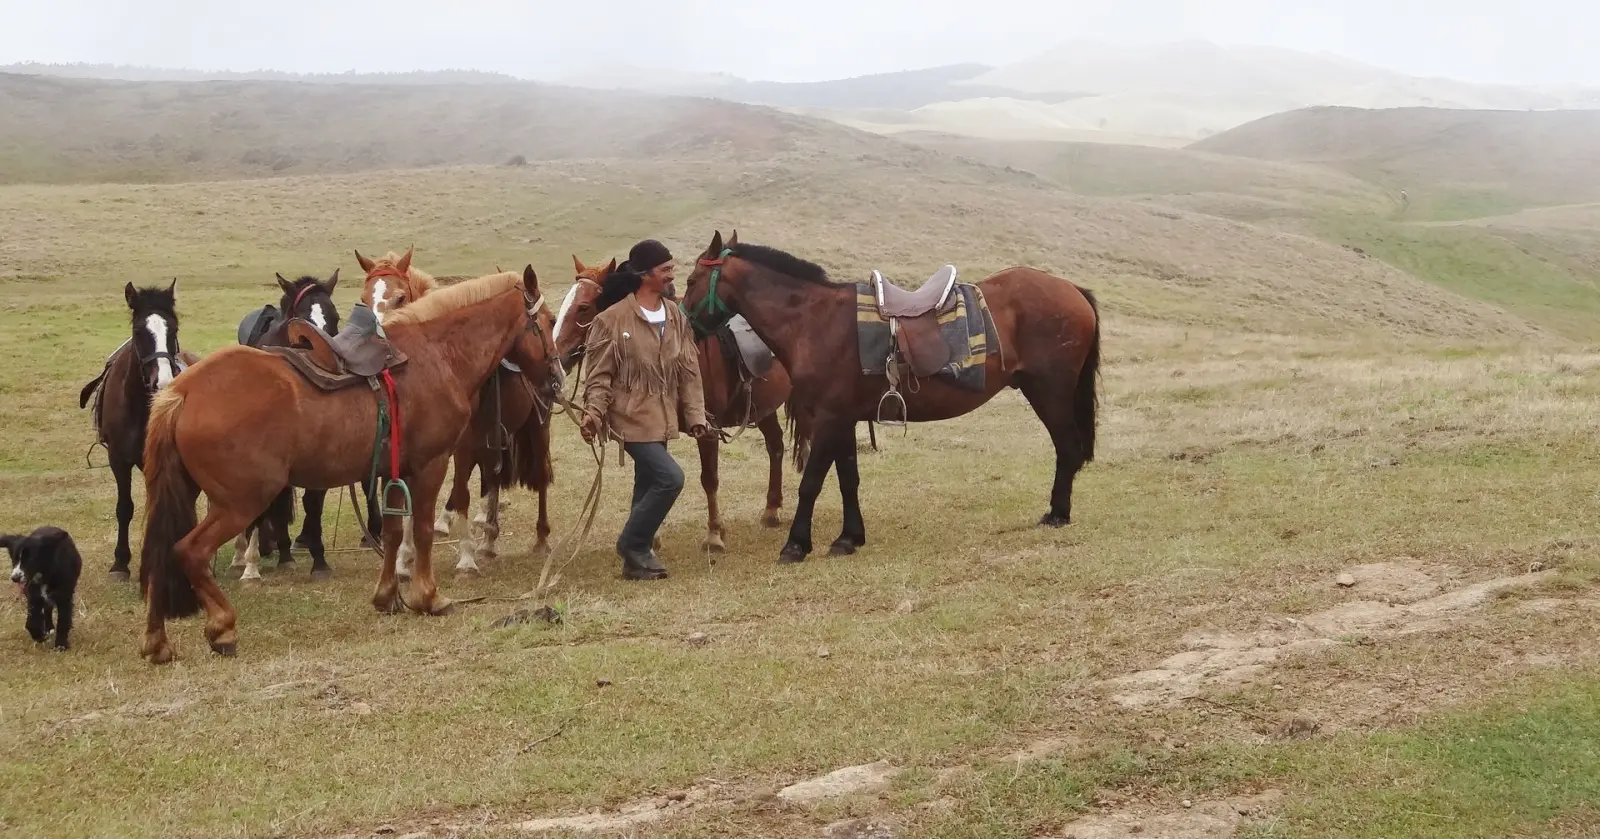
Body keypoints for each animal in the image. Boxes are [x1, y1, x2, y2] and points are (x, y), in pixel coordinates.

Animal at [77, 280, 201, 581]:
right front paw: (120, 563)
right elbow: (125, 508)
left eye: (173, 329)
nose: (163, 382)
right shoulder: (118, 460)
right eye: (138, 332)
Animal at [356, 249, 556, 576]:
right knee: (492, 479)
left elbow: (461, 494)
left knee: (539, 478)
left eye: (400, 297)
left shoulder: (461, 446)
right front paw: (404, 557)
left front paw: (465, 557)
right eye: (364, 299)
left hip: (536, 429)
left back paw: (540, 539)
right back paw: (488, 538)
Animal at [678, 230, 1101, 565]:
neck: (813, 321)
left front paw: (796, 545)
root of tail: (1072, 290)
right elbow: (848, 478)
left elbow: (812, 482)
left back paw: (1058, 513)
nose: (684, 324)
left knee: (1067, 447)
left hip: (1049, 391)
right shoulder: (844, 417)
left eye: (692, 278)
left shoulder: (829, 417)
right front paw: (849, 538)